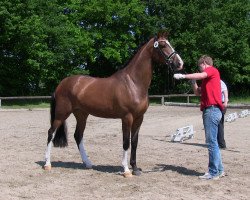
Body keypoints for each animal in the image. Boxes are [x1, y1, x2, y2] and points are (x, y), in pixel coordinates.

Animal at [43, 31, 184, 177]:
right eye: (162, 45)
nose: (180, 63)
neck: (133, 83)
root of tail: (61, 84)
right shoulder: (127, 118)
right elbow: (126, 142)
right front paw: (126, 170)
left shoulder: (139, 118)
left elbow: (134, 142)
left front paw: (135, 168)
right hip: (61, 114)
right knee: (51, 133)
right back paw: (47, 164)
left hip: (81, 115)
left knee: (78, 136)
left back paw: (87, 163)